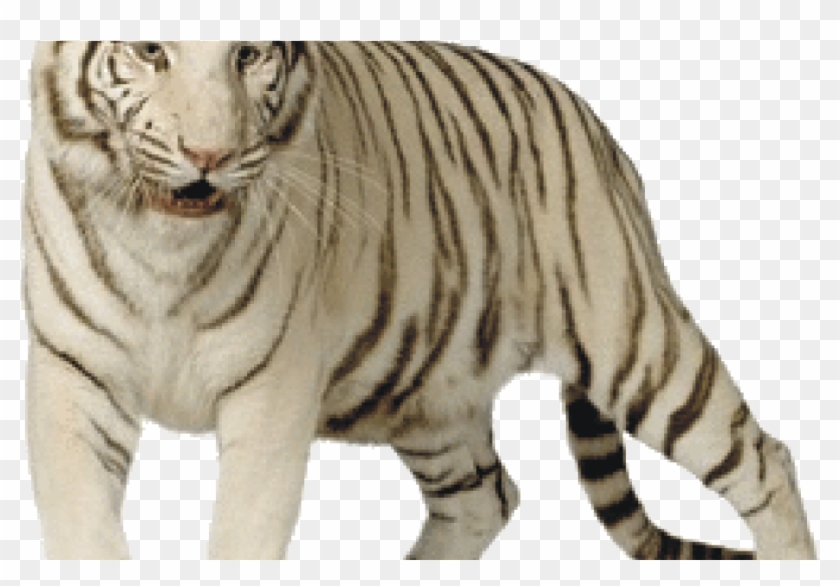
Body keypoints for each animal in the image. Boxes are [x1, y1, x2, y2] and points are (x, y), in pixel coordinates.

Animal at [22, 40, 817, 560]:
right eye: (149, 50)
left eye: (248, 56)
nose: (209, 155)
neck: (164, 246)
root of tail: (599, 130)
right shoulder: (73, 379)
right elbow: (83, 530)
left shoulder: (270, 396)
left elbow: (242, 537)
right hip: (425, 388)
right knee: (486, 497)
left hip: (633, 343)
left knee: (766, 461)